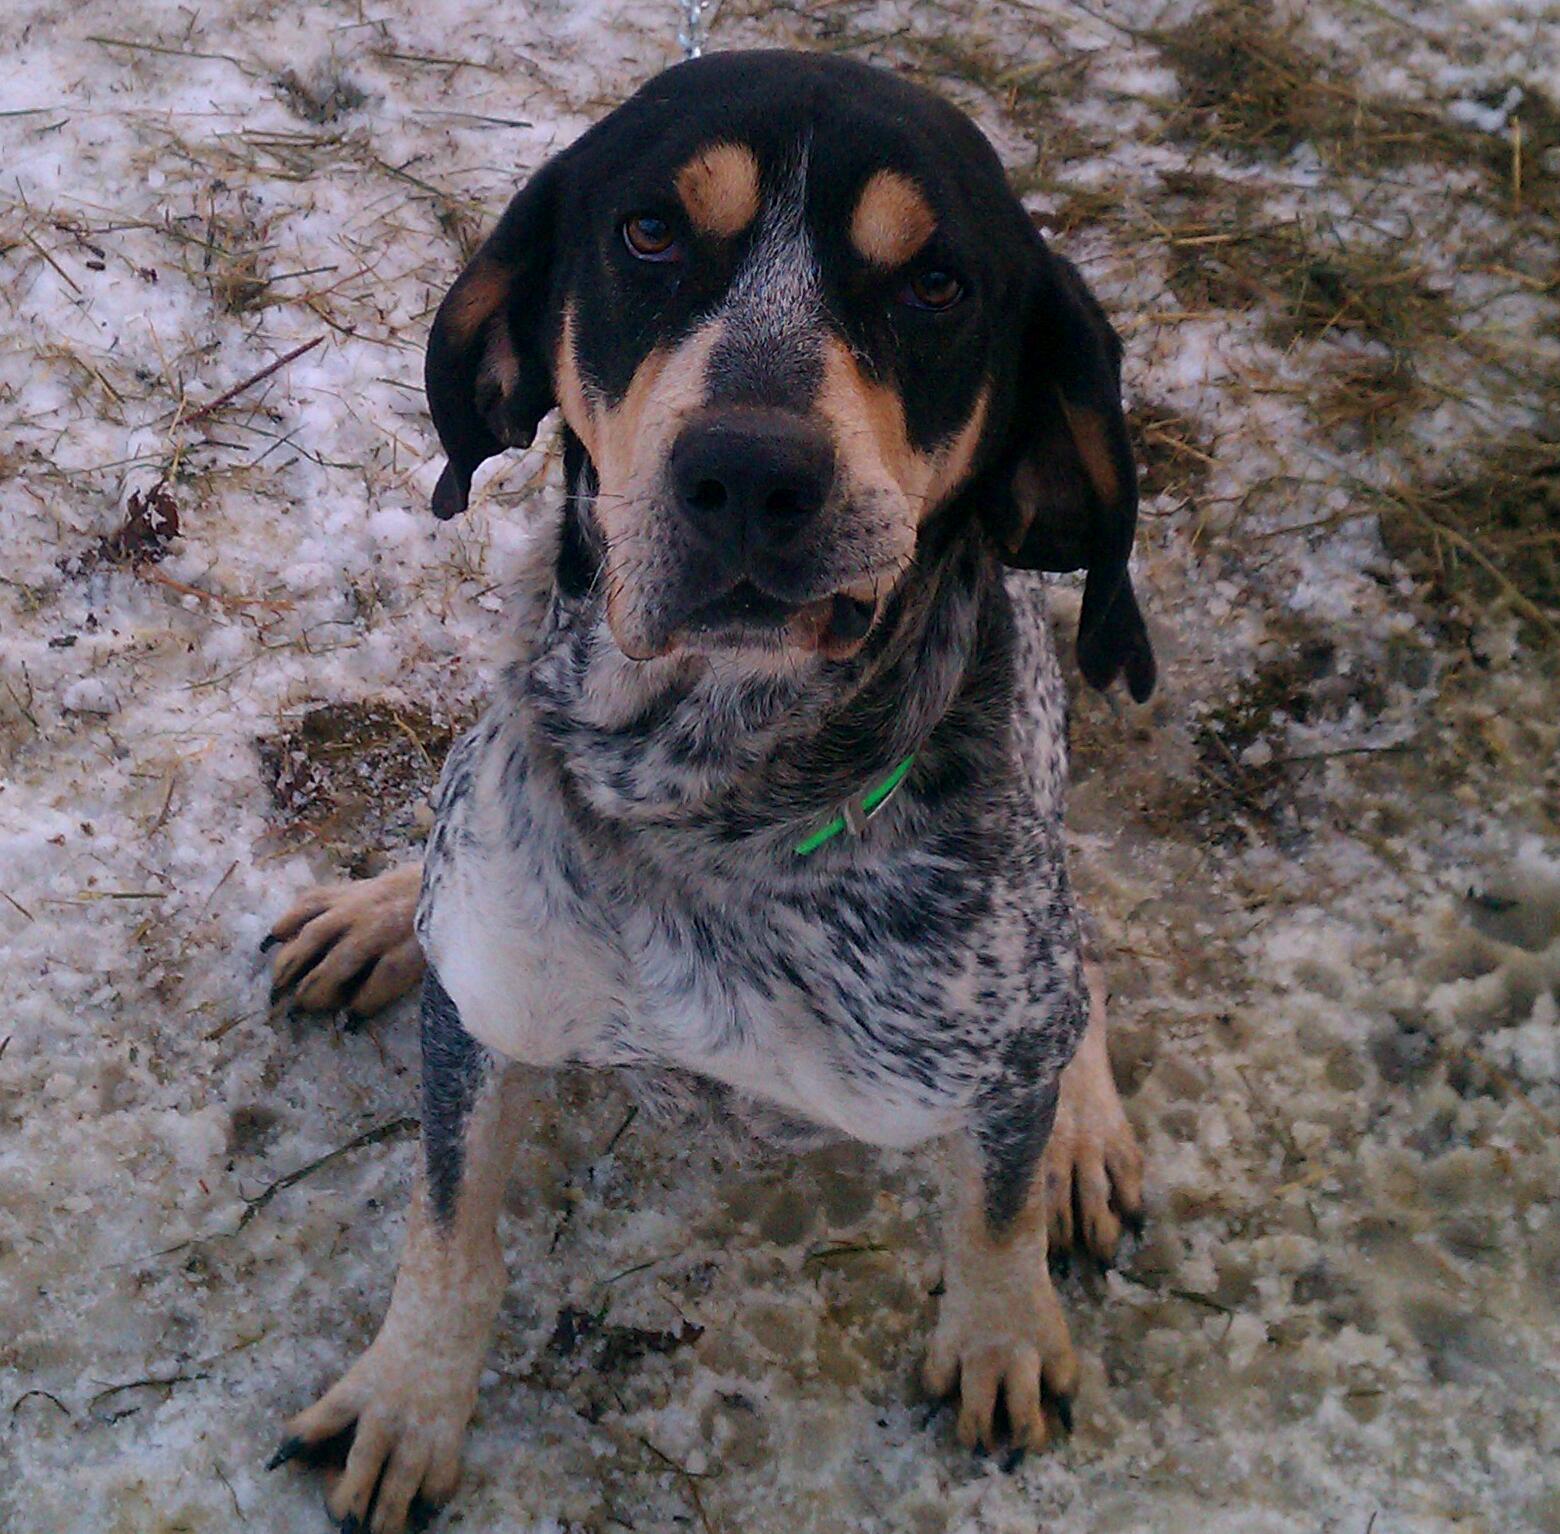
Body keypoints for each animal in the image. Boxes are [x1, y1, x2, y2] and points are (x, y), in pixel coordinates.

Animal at [263, 48, 1154, 1533]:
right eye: (649, 235)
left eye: (936, 284)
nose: (748, 472)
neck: (709, 794)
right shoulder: (491, 1002)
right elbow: (448, 1230)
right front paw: (408, 1397)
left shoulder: (989, 1036)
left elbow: (996, 1209)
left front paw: (1004, 1331)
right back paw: (381, 914)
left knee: (1082, 980)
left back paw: (1085, 1125)